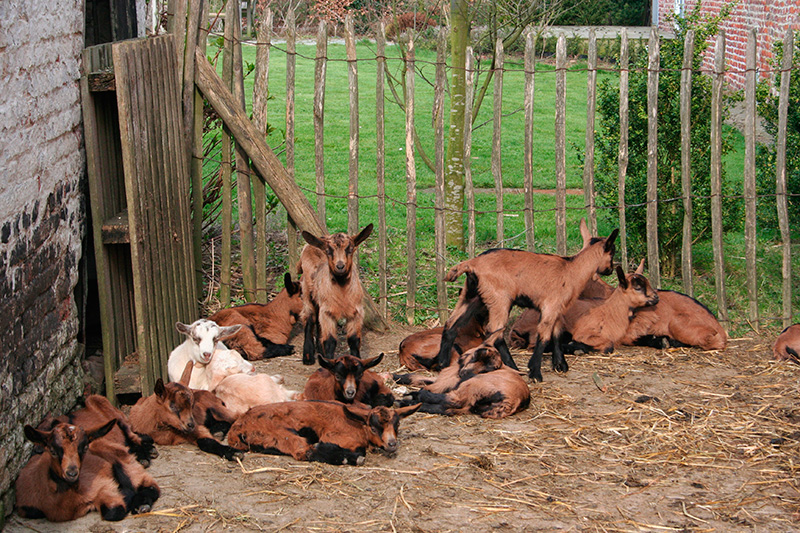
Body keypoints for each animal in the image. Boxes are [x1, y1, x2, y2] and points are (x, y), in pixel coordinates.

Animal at [16, 420, 159, 520]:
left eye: (84, 448)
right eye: (52, 451)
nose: (72, 473)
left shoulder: (103, 486)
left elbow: (113, 511)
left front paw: (126, 495)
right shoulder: (25, 505)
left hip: (121, 459)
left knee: (150, 485)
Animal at [225, 396, 418, 464]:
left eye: (397, 425)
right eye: (373, 427)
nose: (392, 444)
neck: (357, 423)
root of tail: (236, 427)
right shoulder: (337, 435)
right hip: (279, 433)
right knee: (303, 451)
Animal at [298, 222, 374, 364]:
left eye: (350, 249)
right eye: (328, 251)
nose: (340, 266)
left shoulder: (356, 311)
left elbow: (354, 340)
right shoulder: (327, 312)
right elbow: (330, 341)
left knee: (317, 322)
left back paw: (320, 352)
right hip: (306, 291)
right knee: (309, 318)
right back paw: (308, 356)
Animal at [438, 227, 620, 380]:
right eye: (612, 252)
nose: (610, 270)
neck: (572, 269)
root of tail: (472, 264)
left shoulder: (557, 309)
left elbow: (557, 334)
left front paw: (560, 365)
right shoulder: (550, 306)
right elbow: (544, 336)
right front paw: (535, 372)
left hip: (473, 296)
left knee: (451, 325)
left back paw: (442, 364)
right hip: (499, 299)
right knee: (495, 332)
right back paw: (512, 367)